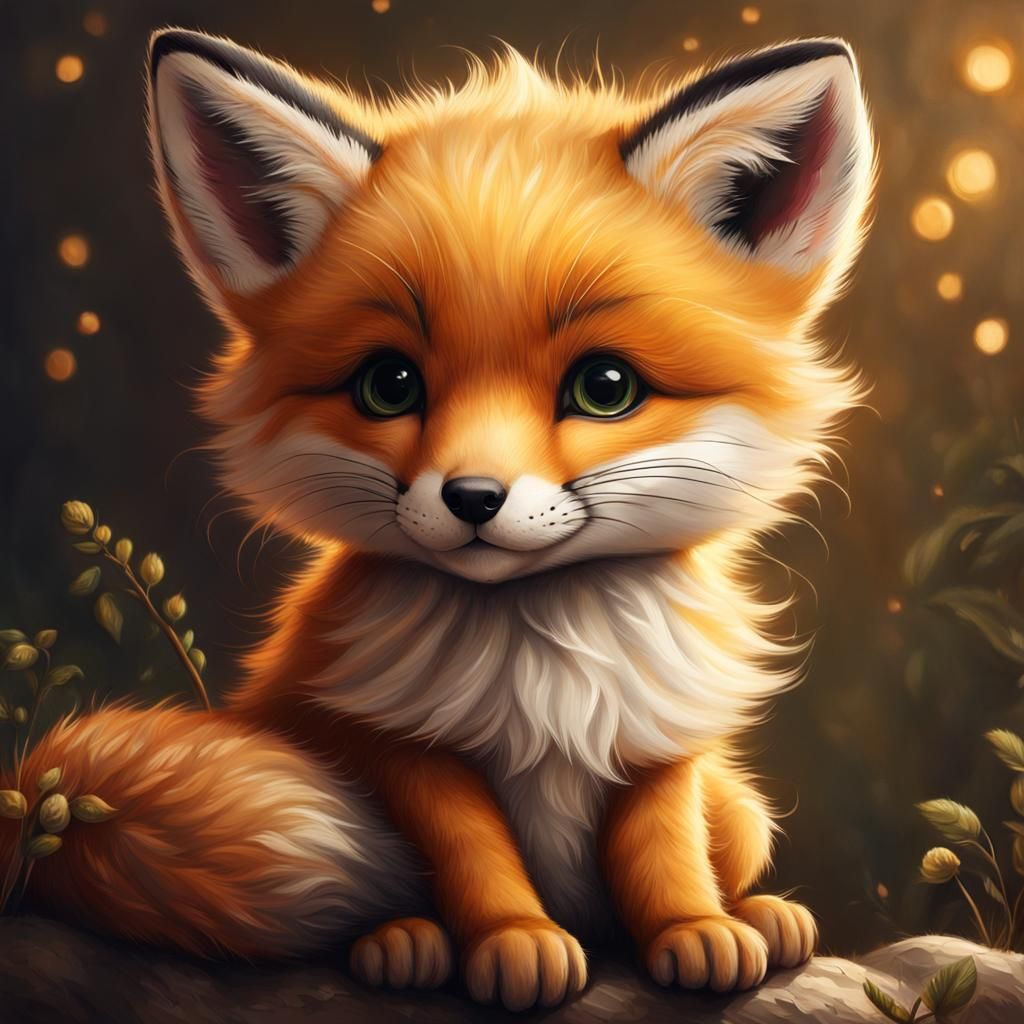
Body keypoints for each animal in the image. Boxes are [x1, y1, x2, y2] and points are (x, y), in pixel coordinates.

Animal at [1, 28, 874, 1011]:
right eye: (390, 384)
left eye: (605, 387)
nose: (473, 499)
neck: (540, 669)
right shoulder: (404, 749)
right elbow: (475, 856)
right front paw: (515, 940)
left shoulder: (658, 744)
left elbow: (664, 851)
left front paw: (692, 930)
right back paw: (401, 943)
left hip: (744, 808)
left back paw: (762, 915)